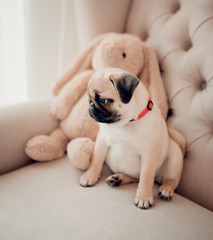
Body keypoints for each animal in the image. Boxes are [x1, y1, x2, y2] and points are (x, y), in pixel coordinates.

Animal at [80, 67, 183, 208]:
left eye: (103, 100)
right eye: (89, 99)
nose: (90, 105)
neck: (126, 123)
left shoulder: (149, 154)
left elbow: (146, 176)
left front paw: (143, 196)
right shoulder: (102, 141)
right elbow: (96, 160)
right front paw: (90, 176)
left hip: (175, 157)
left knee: (169, 179)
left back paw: (166, 189)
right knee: (136, 177)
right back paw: (118, 179)